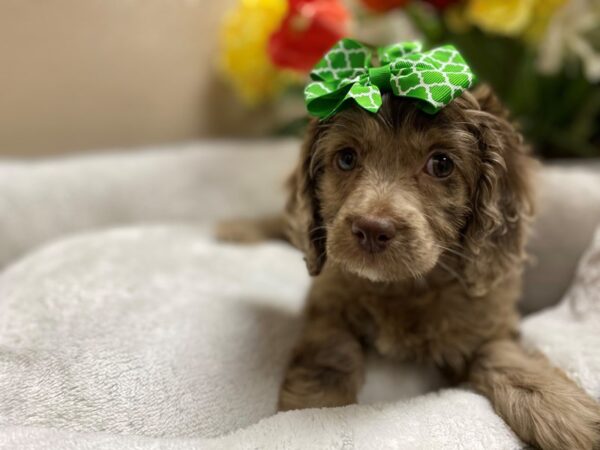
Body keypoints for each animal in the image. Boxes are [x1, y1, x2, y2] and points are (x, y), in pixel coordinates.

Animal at [217, 85, 600, 450]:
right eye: (346, 158)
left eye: (441, 164)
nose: (371, 229)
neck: (402, 286)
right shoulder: (327, 301)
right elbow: (329, 353)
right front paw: (314, 411)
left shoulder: (488, 317)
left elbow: (504, 355)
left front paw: (565, 413)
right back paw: (237, 229)